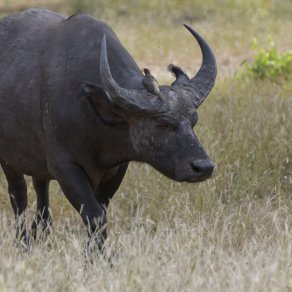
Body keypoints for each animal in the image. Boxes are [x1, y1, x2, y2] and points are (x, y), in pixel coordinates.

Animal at [0, 8, 217, 249]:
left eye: (193, 120)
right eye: (163, 124)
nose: (203, 167)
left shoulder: (117, 168)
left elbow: (101, 212)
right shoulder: (65, 168)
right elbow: (94, 215)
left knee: (41, 188)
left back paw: (42, 235)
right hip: (9, 160)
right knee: (18, 195)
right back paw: (23, 242)